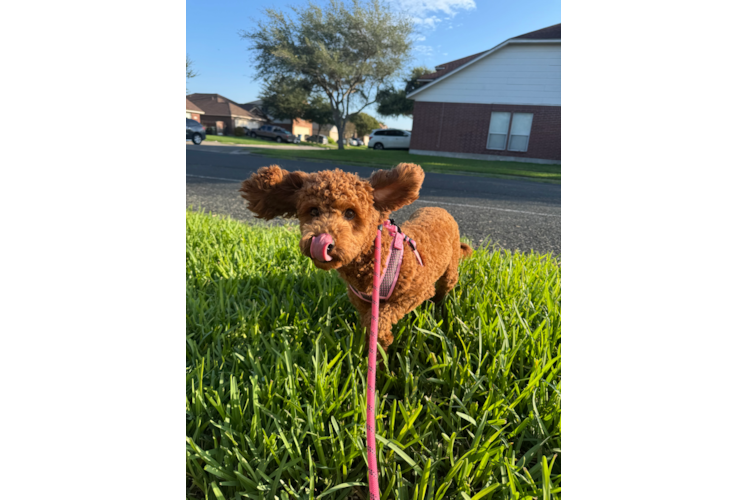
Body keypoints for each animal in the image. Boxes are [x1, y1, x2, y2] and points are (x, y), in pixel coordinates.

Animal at [241, 163, 474, 352]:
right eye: (313, 211)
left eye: (350, 213)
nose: (322, 242)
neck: (377, 259)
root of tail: (439, 208)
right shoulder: (362, 303)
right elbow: (369, 324)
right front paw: (373, 351)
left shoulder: (413, 294)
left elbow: (382, 319)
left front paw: (383, 340)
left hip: (449, 269)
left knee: (444, 288)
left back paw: (439, 307)